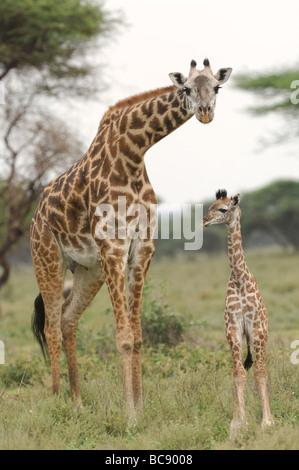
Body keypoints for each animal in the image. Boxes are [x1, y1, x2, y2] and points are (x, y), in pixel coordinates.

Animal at [30, 58, 233, 418]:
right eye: (186, 88)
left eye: (217, 88)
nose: (206, 113)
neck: (133, 151)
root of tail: (36, 215)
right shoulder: (113, 246)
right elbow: (124, 336)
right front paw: (131, 415)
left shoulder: (142, 248)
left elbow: (138, 336)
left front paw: (141, 405)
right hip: (48, 260)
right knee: (51, 327)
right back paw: (57, 402)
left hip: (88, 270)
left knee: (68, 320)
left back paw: (77, 401)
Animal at [203, 190, 276, 434]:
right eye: (210, 206)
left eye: (223, 209)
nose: (204, 221)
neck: (239, 279)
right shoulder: (233, 329)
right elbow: (238, 373)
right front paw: (238, 423)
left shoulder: (256, 329)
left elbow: (260, 373)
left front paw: (267, 421)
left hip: (260, 335)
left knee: (260, 368)